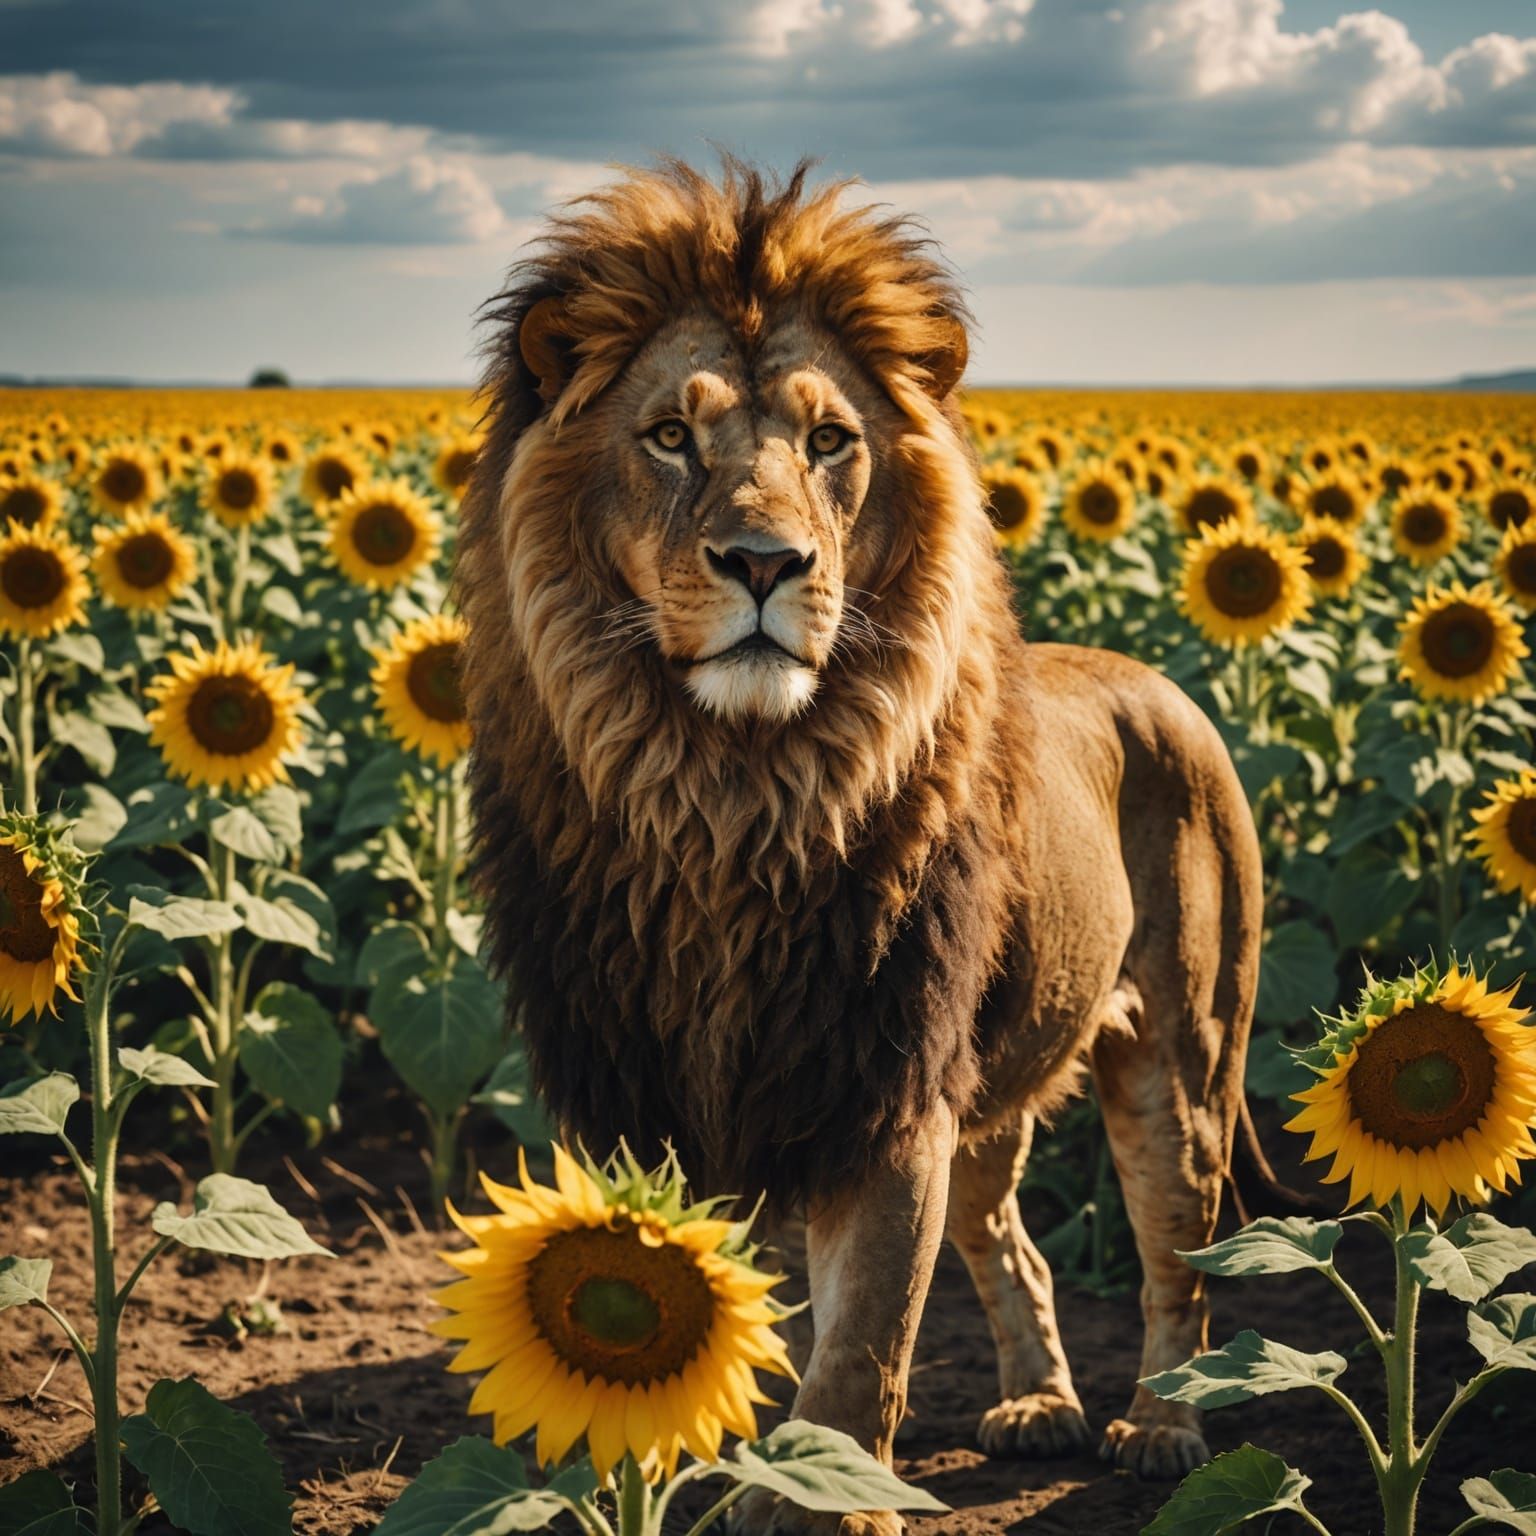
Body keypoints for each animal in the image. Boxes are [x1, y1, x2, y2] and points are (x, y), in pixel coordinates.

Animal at [458, 158, 1279, 1531]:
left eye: (829, 442)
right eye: (670, 437)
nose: (764, 562)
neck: (728, 796)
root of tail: (1161, 679)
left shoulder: (888, 1091)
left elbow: (863, 1350)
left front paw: (815, 1501)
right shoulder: (638, 1090)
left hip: (1181, 1065)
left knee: (1185, 1262)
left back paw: (1163, 1430)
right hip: (1000, 1087)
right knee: (1018, 1248)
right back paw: (1039, 1408)